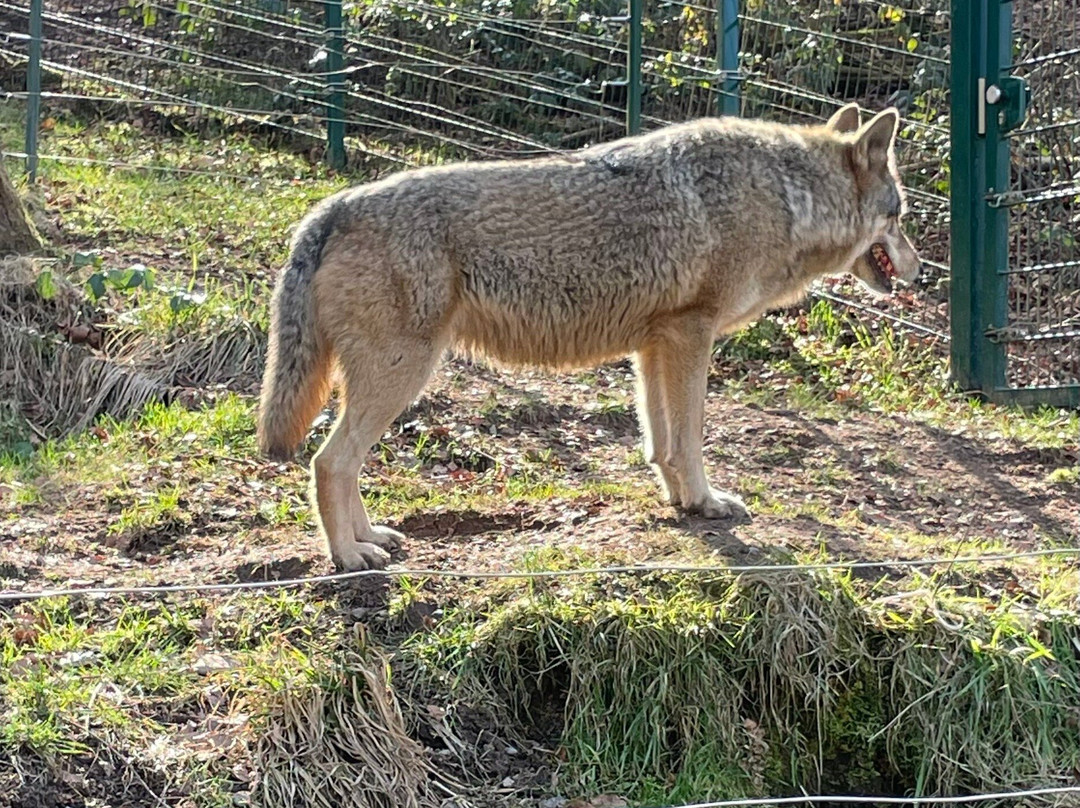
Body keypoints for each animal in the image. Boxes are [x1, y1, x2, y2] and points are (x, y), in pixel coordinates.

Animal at [257, 103, 921, 571]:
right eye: (901, 217)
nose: (920, 271)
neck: (787, 197)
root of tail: (331, 207)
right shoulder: (692, 333)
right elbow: (691, 439)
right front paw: (707, 504)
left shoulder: (655, 345)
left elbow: (661, 444)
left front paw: (681, 503)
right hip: (402, 376)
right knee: (328, 462)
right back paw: (349, 557)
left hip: (384, 381)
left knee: (342, 464)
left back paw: (372, 537)